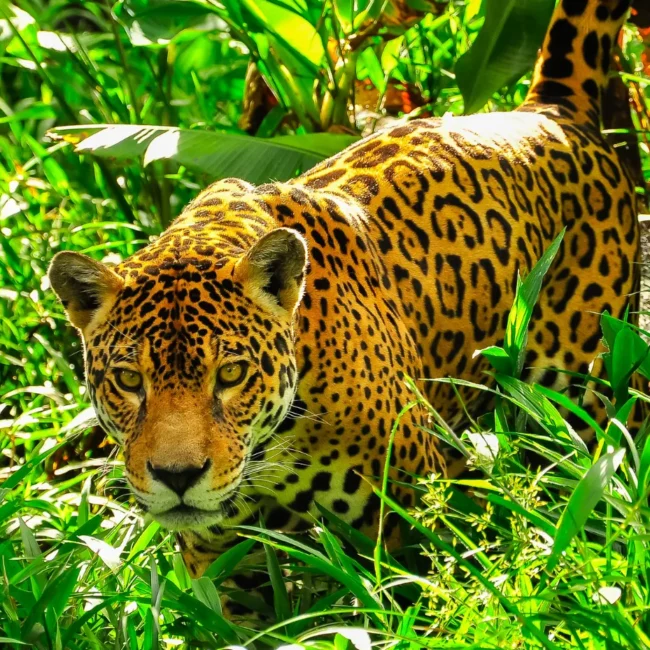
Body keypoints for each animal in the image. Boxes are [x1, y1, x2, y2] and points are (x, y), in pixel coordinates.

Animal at [49, 0, 644, 578]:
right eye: (129, 380)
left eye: (232, 374)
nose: (177, 477)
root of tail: (548, 110)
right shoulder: (220, 565)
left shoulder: (411, 525)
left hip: (598, 386)